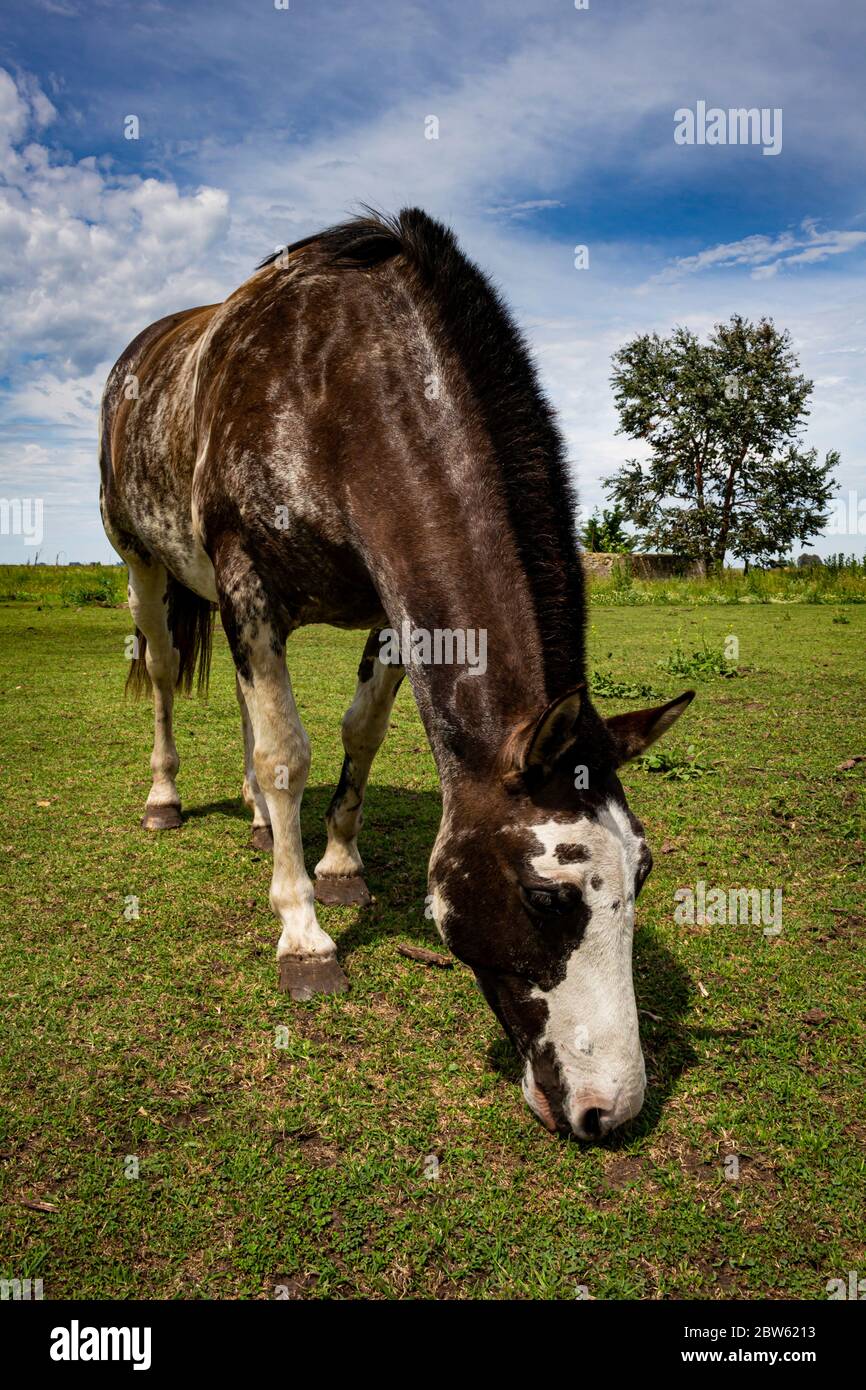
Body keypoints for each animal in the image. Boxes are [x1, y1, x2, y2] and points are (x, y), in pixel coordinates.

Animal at [97, 208, 695, 1139]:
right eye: (547, 897)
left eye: (644, 872)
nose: (613, 1108)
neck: (335, 383)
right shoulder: (246, 582)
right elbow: (288, 754)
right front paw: (304, 935)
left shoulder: (386, 602)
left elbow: (361, 732)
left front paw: (337, 864)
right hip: (145, 564)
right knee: (162, 672)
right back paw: (167, 799)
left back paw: (260, 820)